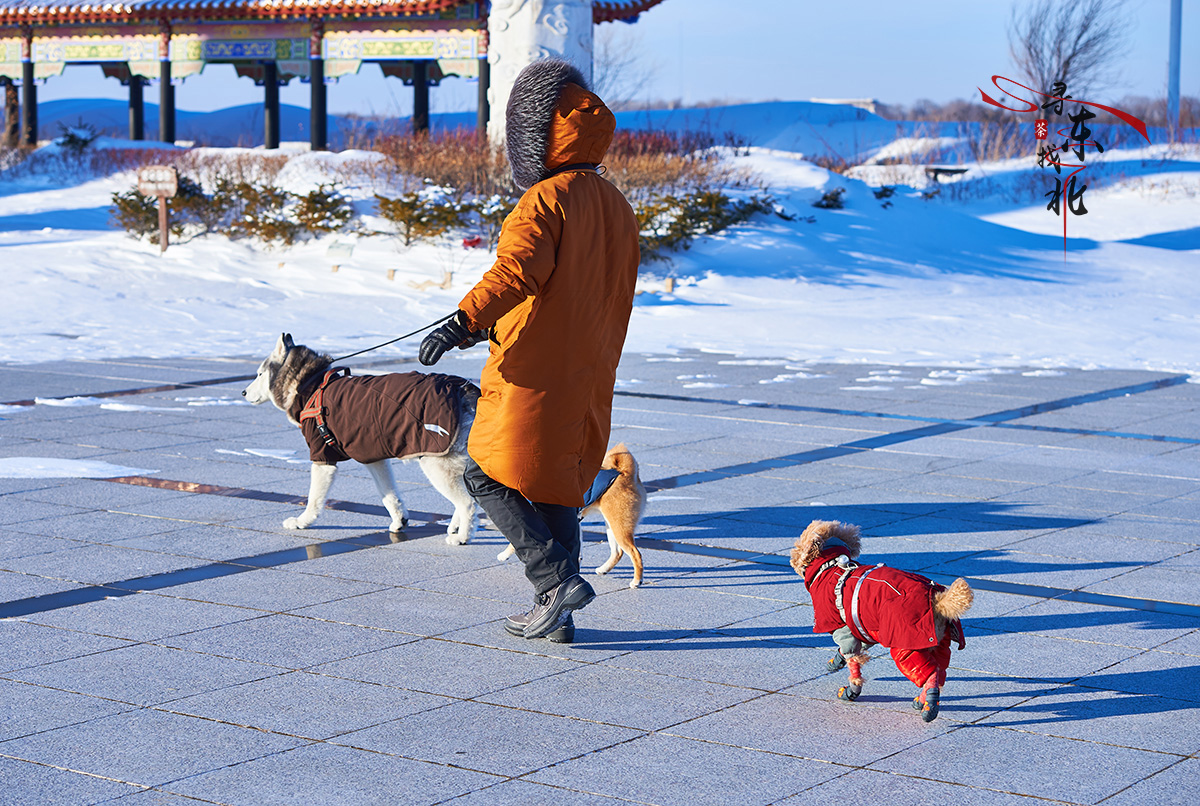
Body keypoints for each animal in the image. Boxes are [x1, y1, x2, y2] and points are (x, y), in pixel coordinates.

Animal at [241, 331, 480, 544]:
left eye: (259, 374)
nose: (243, 392)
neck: (309, 386)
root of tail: (463, 388)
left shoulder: (322, 458)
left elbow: (313, 499)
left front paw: (302, 522)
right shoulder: (373, 457)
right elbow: (389, 495)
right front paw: (399, 521)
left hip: (436, 465)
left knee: (468, 504)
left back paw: (462, 537)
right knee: (468, 500)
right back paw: (455, 526)